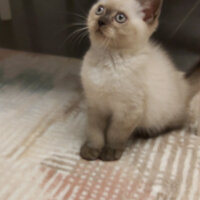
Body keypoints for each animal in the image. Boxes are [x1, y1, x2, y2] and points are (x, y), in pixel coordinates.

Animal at [79, 0, 189, 160]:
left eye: (120, 18)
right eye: (100, 9)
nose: (101, 21)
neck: (107, 59)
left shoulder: (128, 111)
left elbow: (115, 134)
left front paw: (109, 152)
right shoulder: (95, 105)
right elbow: (94, 132)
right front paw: (92, 150)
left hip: (163, 114)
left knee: (173, 124)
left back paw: (147, 132)